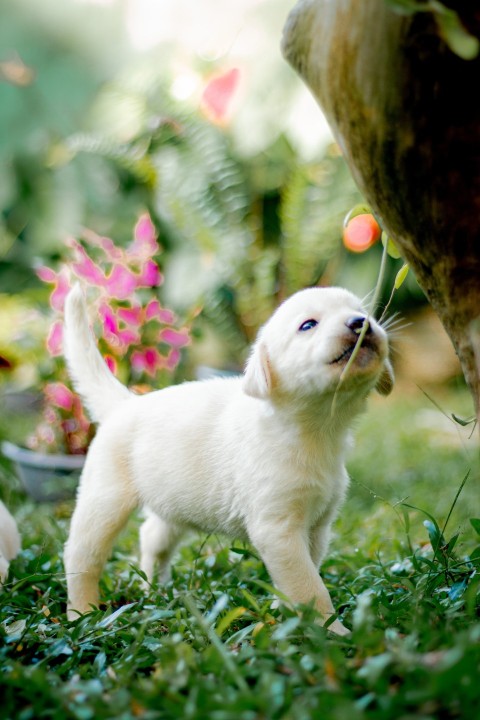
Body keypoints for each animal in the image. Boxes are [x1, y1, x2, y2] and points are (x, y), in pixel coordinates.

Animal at [64, 284, 394, 632]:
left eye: (362, 311)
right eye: (308, 325)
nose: (360, 322)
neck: (314, 431)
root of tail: (125, 403)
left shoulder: (317, 527)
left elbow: (304, 575)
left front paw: (284, 610)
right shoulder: (278, 530)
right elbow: (310, 587)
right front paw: (332, 630)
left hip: (173, 503)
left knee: (152, 537)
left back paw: (156, 588)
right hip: (104, 502)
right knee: (80, 557)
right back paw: (80, 611)